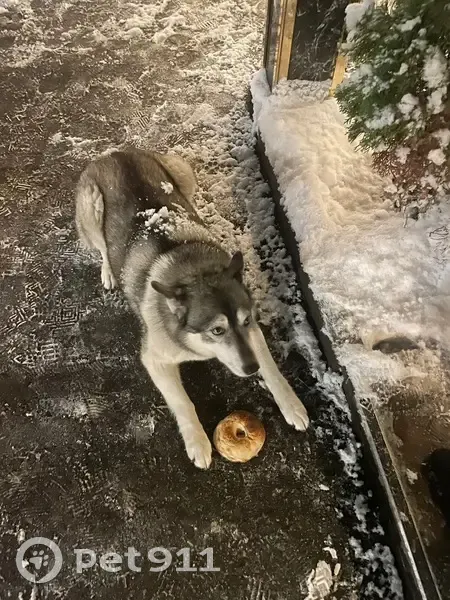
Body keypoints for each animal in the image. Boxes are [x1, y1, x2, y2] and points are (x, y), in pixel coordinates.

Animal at [75, 148, 309, 468]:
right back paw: (110, 271)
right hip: (92, 207)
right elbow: (183, 402)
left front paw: (291, 405)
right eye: (217, 330)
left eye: (245, 321)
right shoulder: (155, 359)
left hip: (183, 173)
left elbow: (273, 370)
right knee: (101, 248)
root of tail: (115, 152)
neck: (195, 273)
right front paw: (197, 441)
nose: (251, 369)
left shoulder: (253, 336)